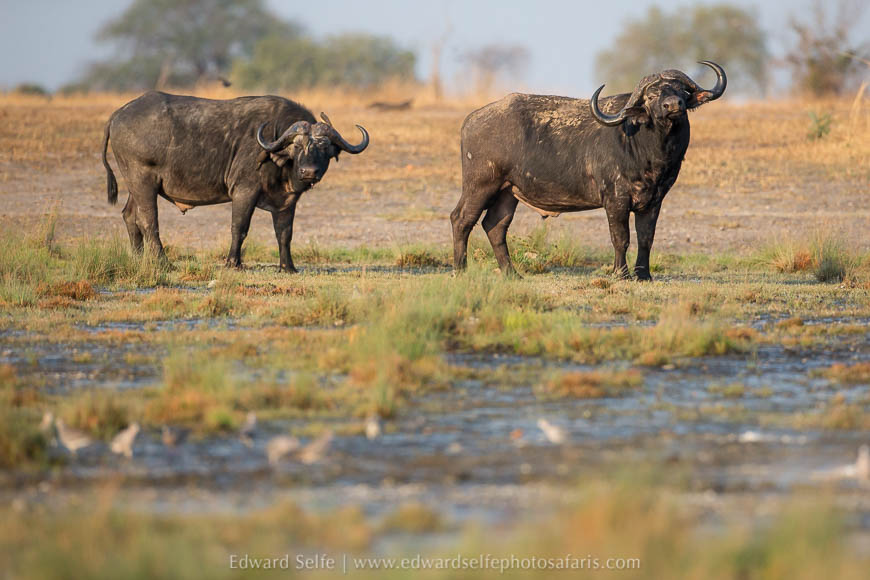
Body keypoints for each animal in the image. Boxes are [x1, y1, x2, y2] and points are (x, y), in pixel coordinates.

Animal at [101, 91, 369, 272]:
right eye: (297, 146)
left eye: (324, 147)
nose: (309, 172)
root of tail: (118, 114)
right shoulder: (244, 191)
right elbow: (239, 227)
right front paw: (233, 263)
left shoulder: (287, 201)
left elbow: (285, 233)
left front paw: (288, 267)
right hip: (143, 181)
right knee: (148, 220)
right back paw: (163, 262)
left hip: (135, 185)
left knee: (130, 216)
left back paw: (138, 258)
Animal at [451, 61, 726, 279]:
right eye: (651, 96)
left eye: (681, 90)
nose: (673, 105)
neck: (649, 151)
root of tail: (471, 119)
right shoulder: (616, 200)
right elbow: (621, 237)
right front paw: (621, 274)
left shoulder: (654, 201)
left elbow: (646, 238)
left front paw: (644, 275)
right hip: (480, 185)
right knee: (461, 219)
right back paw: (461, 270)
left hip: (508, 192)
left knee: (495, 226)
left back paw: (512, 274)